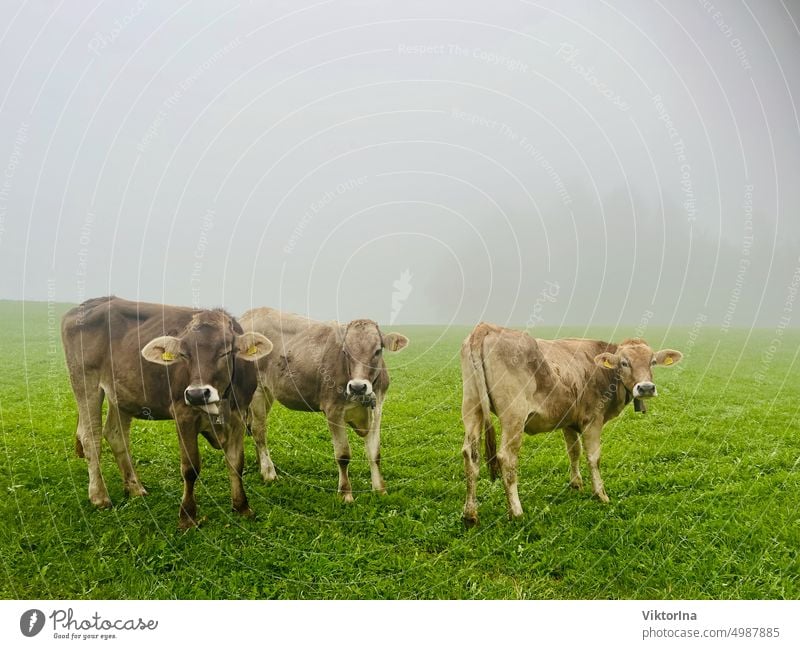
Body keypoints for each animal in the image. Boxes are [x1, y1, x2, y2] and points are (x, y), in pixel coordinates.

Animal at [60, 296, 272, 528]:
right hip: (84, 382)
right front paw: (187, 516)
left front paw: (242, 507)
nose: (197, 394)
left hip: (122, 393)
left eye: (225, 351)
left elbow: (236, 463)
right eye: (184, 354)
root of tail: (90, 303)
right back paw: (99, 496)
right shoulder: (183, 415)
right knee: (91, 437)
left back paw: (135, 487)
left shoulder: (238, 416)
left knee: (116, 435)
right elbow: (190, 469)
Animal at [239, 308, 410, 502]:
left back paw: (261, 465)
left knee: (254, 428)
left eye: (378, 351)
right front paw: (345, 494)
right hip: (257, 391)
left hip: (268, 392)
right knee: (259, 431)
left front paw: (380, 490)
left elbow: (375, 453)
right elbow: (343, 455)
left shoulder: (377, 409)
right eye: (345, 352)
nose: (358, 387)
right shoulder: (333, 410)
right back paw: (269, 472)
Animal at [462, 324, 680, 528]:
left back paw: (470, 515)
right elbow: (593, 457)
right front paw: (600, 494)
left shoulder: (568, 420)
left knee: (471, 455)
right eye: (624, 363)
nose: (646, 388)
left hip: (472, 407)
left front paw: (576, 484)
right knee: (507, 459)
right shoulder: (593, 420)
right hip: (513, 415)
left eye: (652, 362)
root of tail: (487, 327)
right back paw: (516, 512)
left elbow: (574, 451)